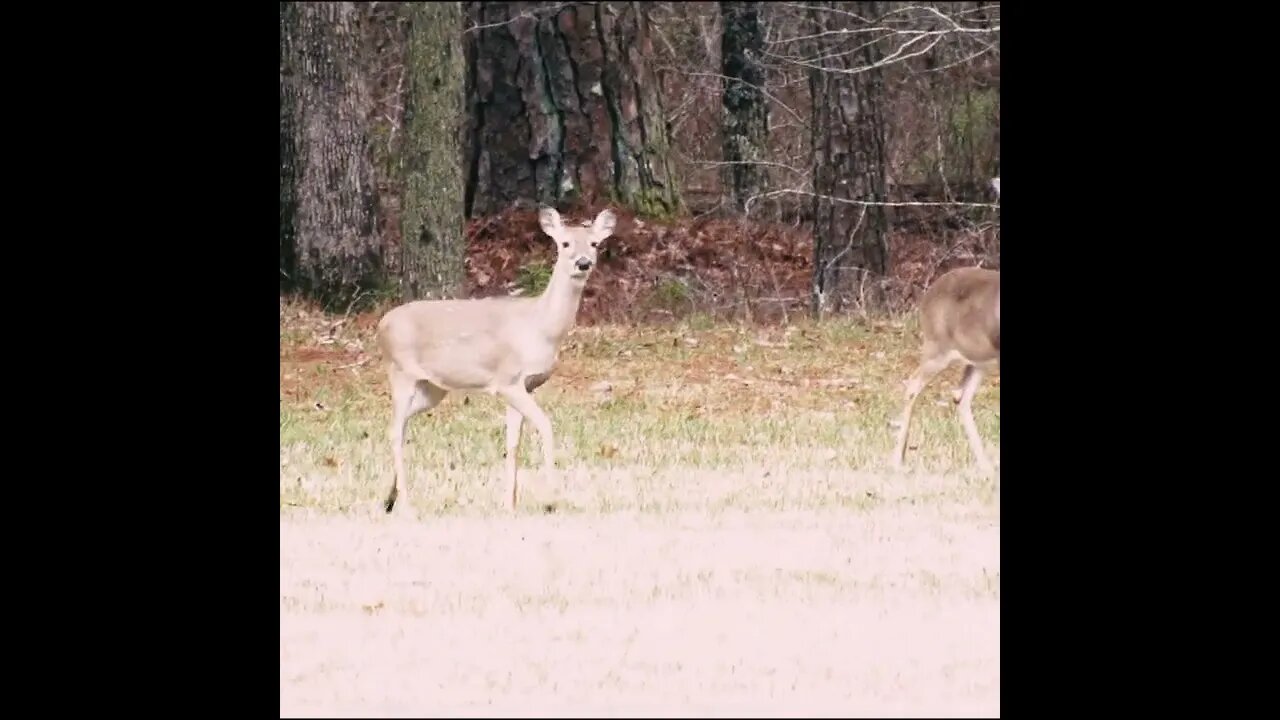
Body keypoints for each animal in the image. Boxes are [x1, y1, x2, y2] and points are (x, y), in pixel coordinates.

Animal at [373, 204, 616, 512]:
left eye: (594, 243)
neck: (540, 327)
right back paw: (406, 504)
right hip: (400, 371)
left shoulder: (526, 385)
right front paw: (551, 498)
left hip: (432, 387)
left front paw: (509, 503)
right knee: (395, 431)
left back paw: (389, 498)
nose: (583, 263)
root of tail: (381, 325)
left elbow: (513, 442)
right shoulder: (507, 380)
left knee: (398, 426)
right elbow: (546, 426)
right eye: (565, 243)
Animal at [890, 176, 998, 474]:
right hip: (936, 345)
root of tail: (927, 294)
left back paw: (985, 466)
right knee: (912, 385)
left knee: (961, 397)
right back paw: (898, 459)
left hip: (977, 359)